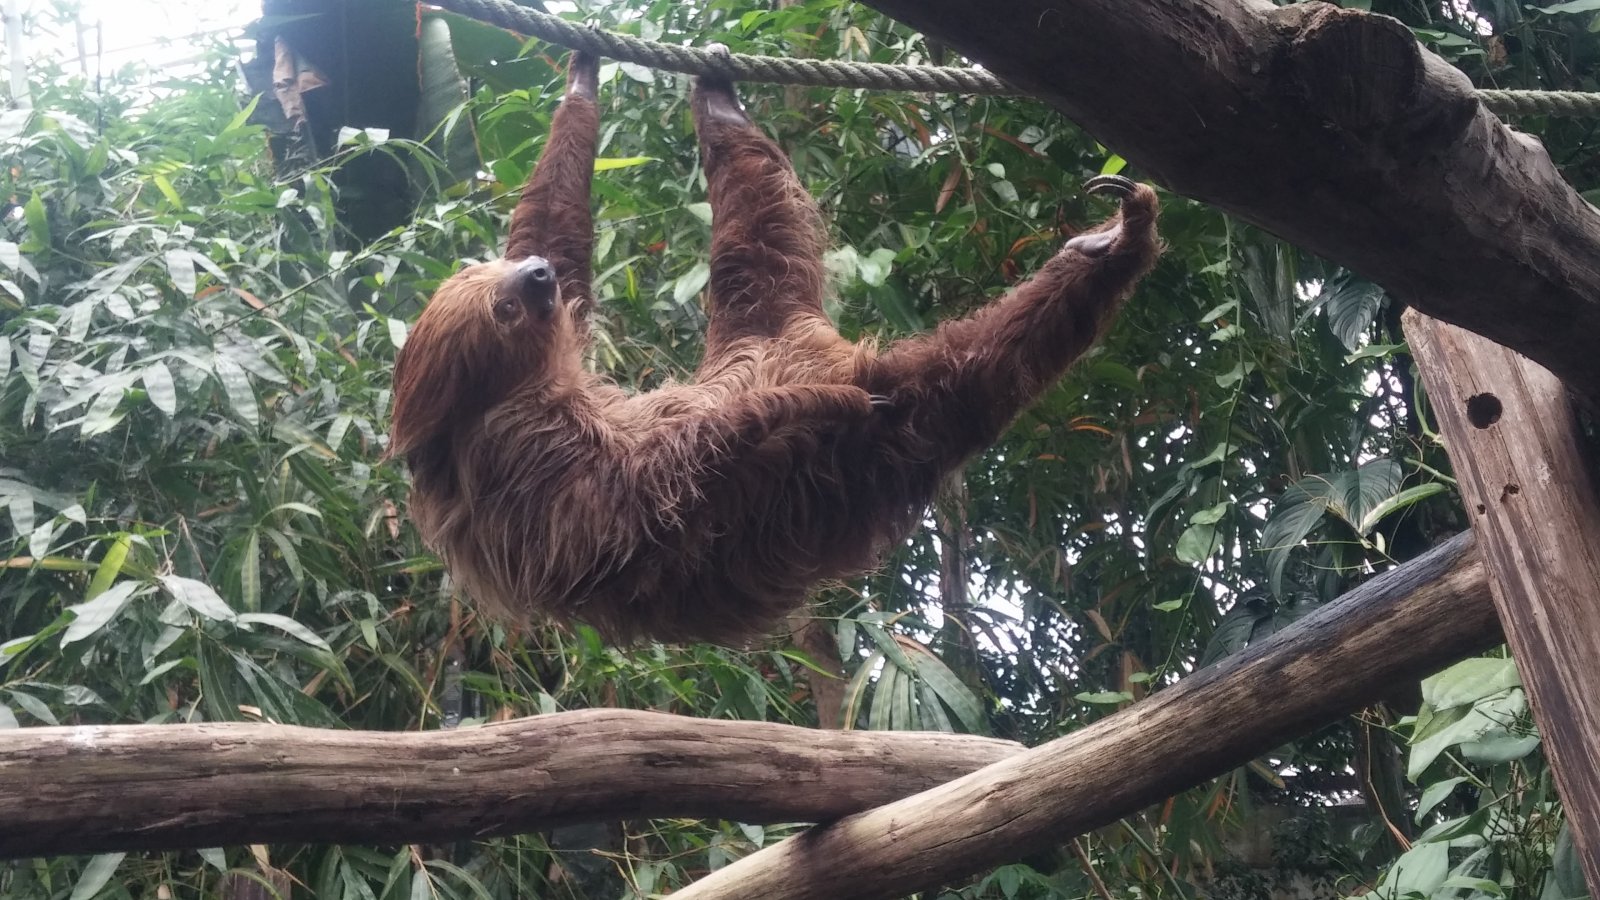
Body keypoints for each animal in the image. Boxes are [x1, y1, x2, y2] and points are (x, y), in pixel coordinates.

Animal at [388, 50, 1162, 646]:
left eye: (500, 274)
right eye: (505, 307)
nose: (536, 275)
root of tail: (795, 339)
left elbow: (552, 229)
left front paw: (581, 77)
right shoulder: (522, 454)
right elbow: (637, 496)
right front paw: (804, 405)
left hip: (761, 321)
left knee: (752, 226)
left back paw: (719, 104)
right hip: (870, 438)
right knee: (962, 377)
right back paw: (1110, 251)